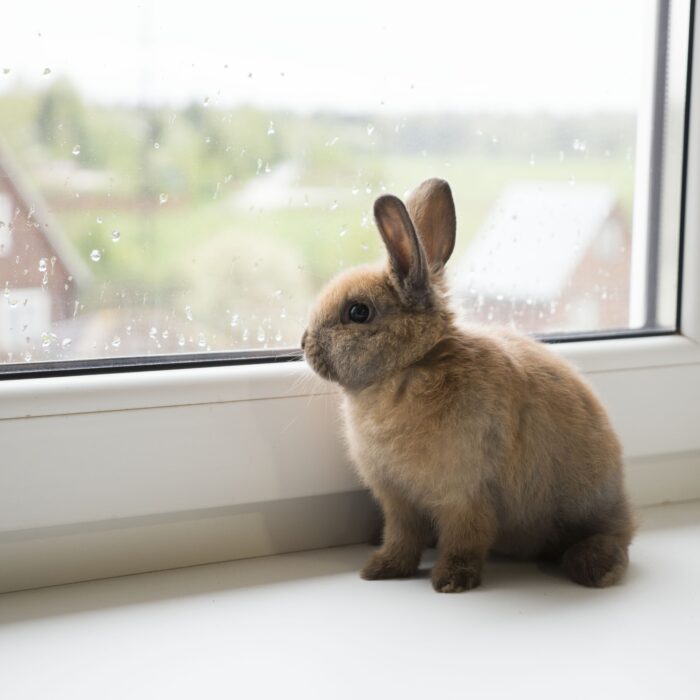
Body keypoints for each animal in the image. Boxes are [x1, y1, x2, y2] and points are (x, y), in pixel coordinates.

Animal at [300, 176, 636, 592]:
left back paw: (594, 567)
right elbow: (401, 537)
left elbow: (466, 538)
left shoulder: (465, 495)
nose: (303, 343)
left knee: (615, 537)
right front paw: (381, 569)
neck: (411, 366)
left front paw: (451, 581)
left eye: (358, 312)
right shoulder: (399, 501)